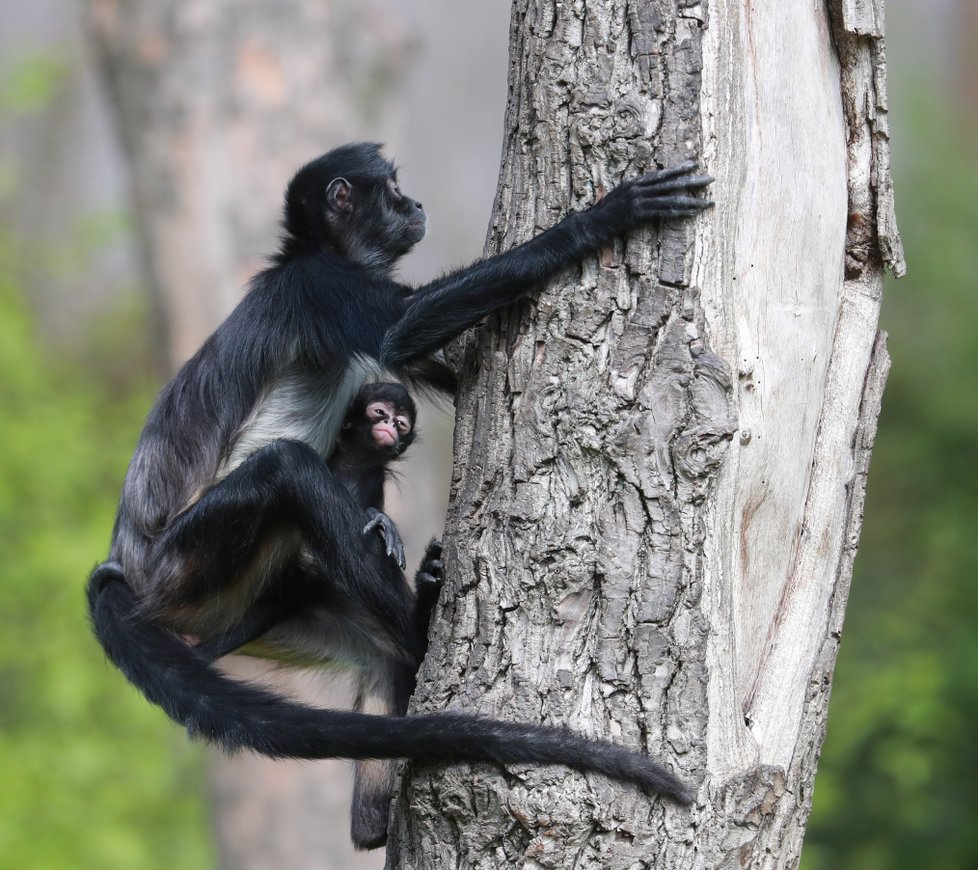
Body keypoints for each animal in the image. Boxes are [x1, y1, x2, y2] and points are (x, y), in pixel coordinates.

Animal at [87, 145, 712, 852]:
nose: (414, 205)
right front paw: (609, 214)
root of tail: (127, 567)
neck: (307, 253)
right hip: (188, 564)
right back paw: (420, 623)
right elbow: (399, 334)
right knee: (287, 467)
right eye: (390, 190)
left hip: (238, 605)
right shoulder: (321, 284)